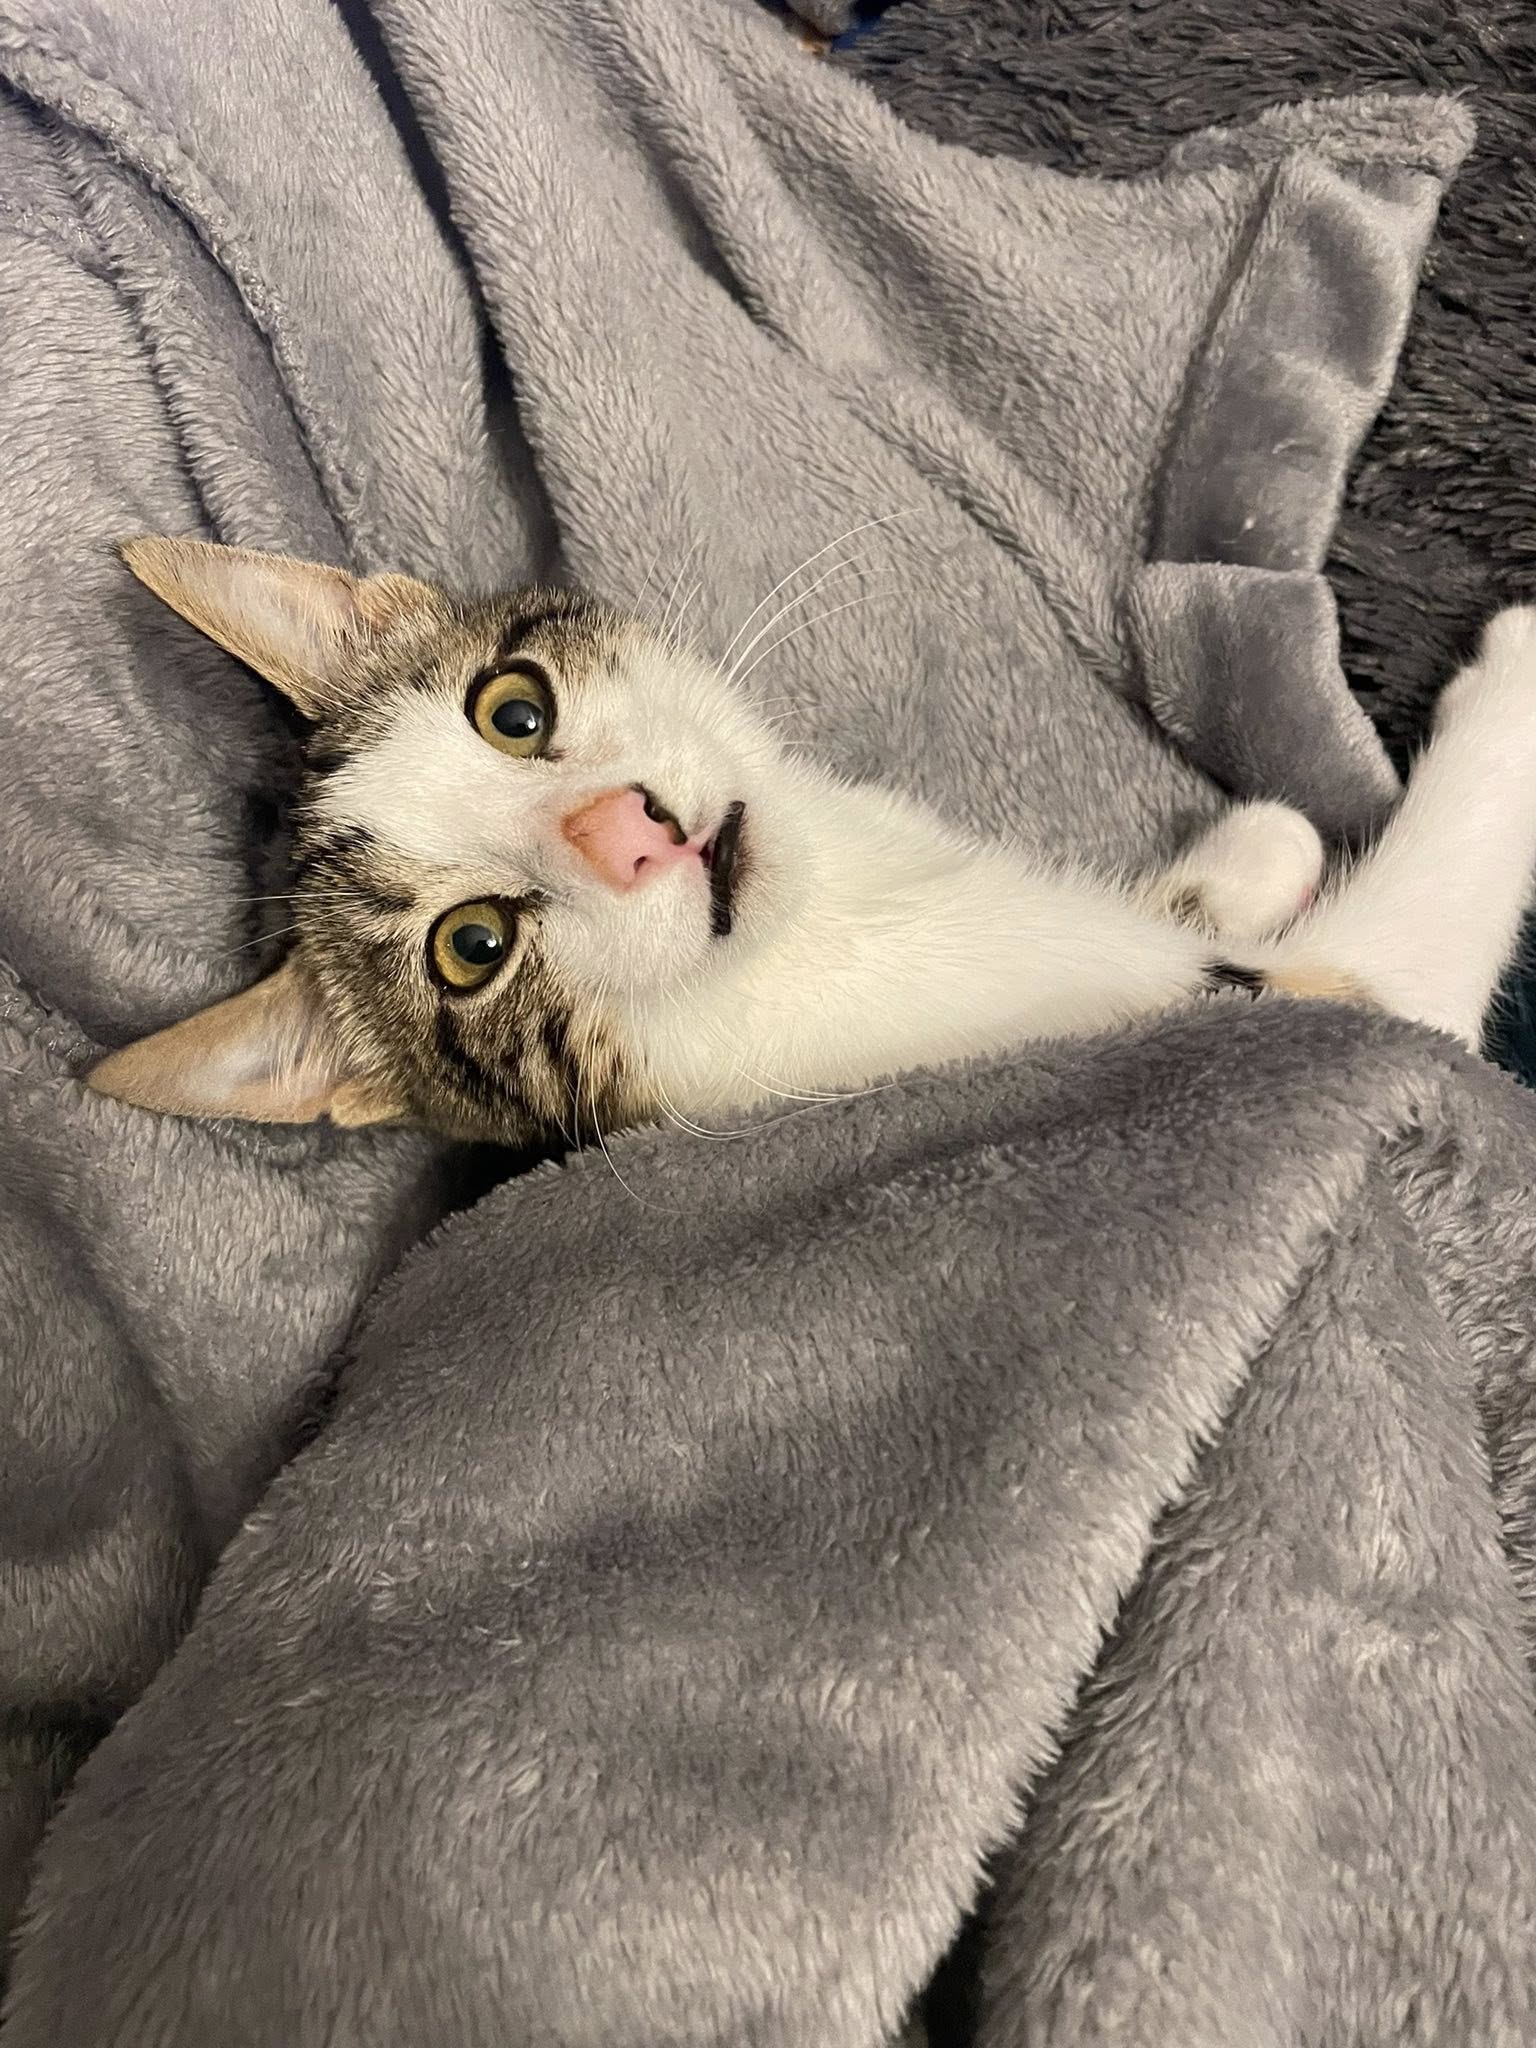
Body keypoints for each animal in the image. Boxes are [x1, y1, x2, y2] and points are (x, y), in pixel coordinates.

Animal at [87, 539, 1536, 1145]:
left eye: (513, 708)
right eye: (471, 948)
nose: (629, 835)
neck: (851, 903)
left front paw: (1243, 855)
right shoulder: (1314, 1007)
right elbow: (1418, 935)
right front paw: (1520, 658)